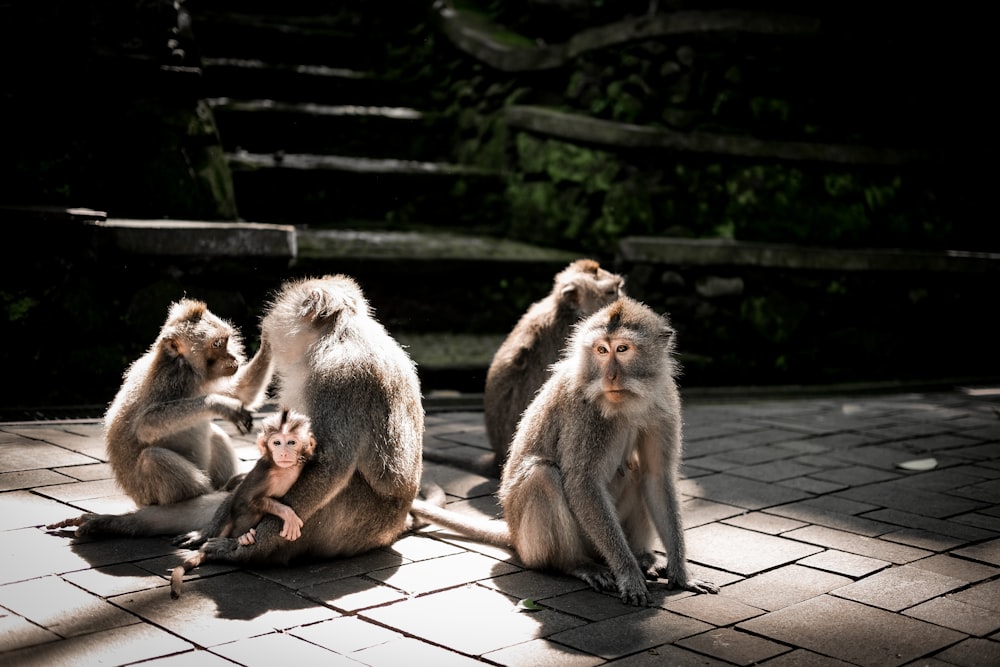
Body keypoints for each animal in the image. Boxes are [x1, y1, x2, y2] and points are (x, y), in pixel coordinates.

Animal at [103, 298, 272, 506]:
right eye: (217, 344)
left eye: (226, 341)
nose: (233, 358)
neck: (188, 368)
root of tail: (137, 499)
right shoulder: (170, 380)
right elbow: (146, 425)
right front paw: (218, 404)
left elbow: (241, 393)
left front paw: (269, 338)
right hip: (148, 494)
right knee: (152, 458)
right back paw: (212, 493)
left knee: (216, 434)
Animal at [170, 408, 314, 600]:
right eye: (277, 442)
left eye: (291, 442)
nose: (283, 453)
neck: (284, 469)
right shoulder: (263, 473)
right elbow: (247, 499)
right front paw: (288, 514)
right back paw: (241, 538)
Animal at [408, 298, 720, 604]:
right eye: (601, 350)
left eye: (622, 348)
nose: (610, 376)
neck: (628, 402)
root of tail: (513, 533)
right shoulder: (585, 413)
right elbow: (582, 482)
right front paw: (629, 574)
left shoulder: (664, 403)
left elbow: (657, 477)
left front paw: (681, 573)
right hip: (539, 542)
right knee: (543, 474)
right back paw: (574, 564)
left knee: (636, 470)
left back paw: (643, 557)